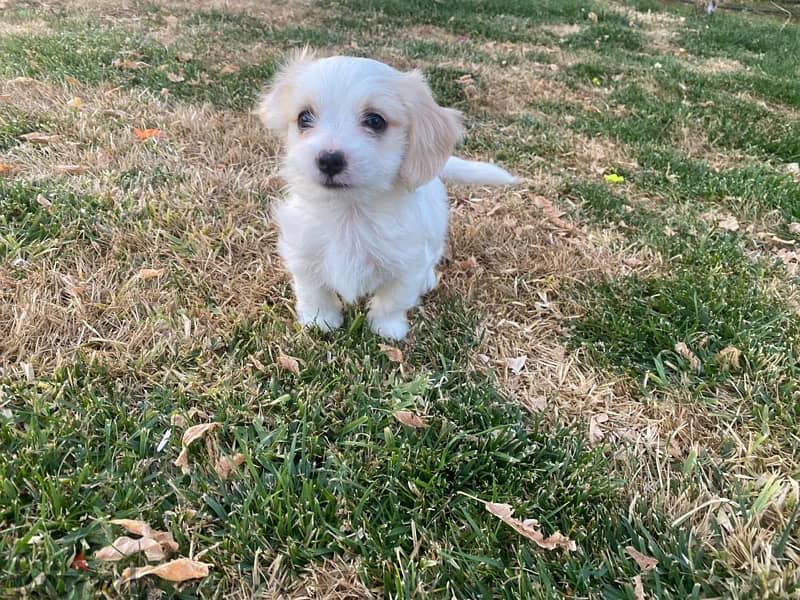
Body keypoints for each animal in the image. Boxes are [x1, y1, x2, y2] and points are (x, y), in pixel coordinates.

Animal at [260, 51, 516, 340]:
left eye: (375, 121)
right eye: (304, 117)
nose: (329, 160)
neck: (349, 213)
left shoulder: (406, 266)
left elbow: (392, 301)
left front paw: (387, 329)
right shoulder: (303, 254)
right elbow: (314, 292)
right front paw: (320, 321)